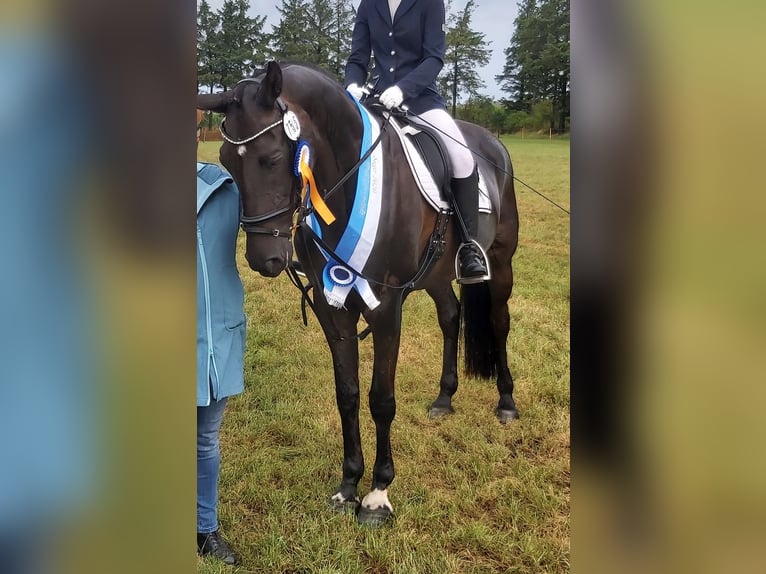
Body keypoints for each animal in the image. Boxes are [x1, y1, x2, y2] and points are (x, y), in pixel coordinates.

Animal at [198, 62, 520, 528]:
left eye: (273, 158)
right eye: (225, 162)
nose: (265, 259)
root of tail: (489, 140)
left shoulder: (386, 309)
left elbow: (381, 399)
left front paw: (378, 494)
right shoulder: (333, 309)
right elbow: (347, 394)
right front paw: (348, 484)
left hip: (501, 263)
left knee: (498, 322)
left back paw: (507, 402)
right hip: (438, 276)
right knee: (450, 316)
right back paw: (444, 398)